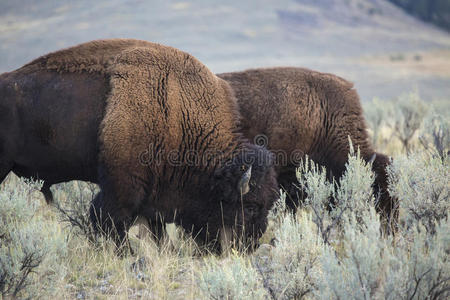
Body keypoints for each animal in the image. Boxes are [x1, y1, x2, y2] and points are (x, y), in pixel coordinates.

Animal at [0, 39, 280, 251]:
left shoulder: (154, 194)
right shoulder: (122, 185)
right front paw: (127, 255)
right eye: (251, 206)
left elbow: (156, 231)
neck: (177, 110)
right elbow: (112, 221)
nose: (250, 245)